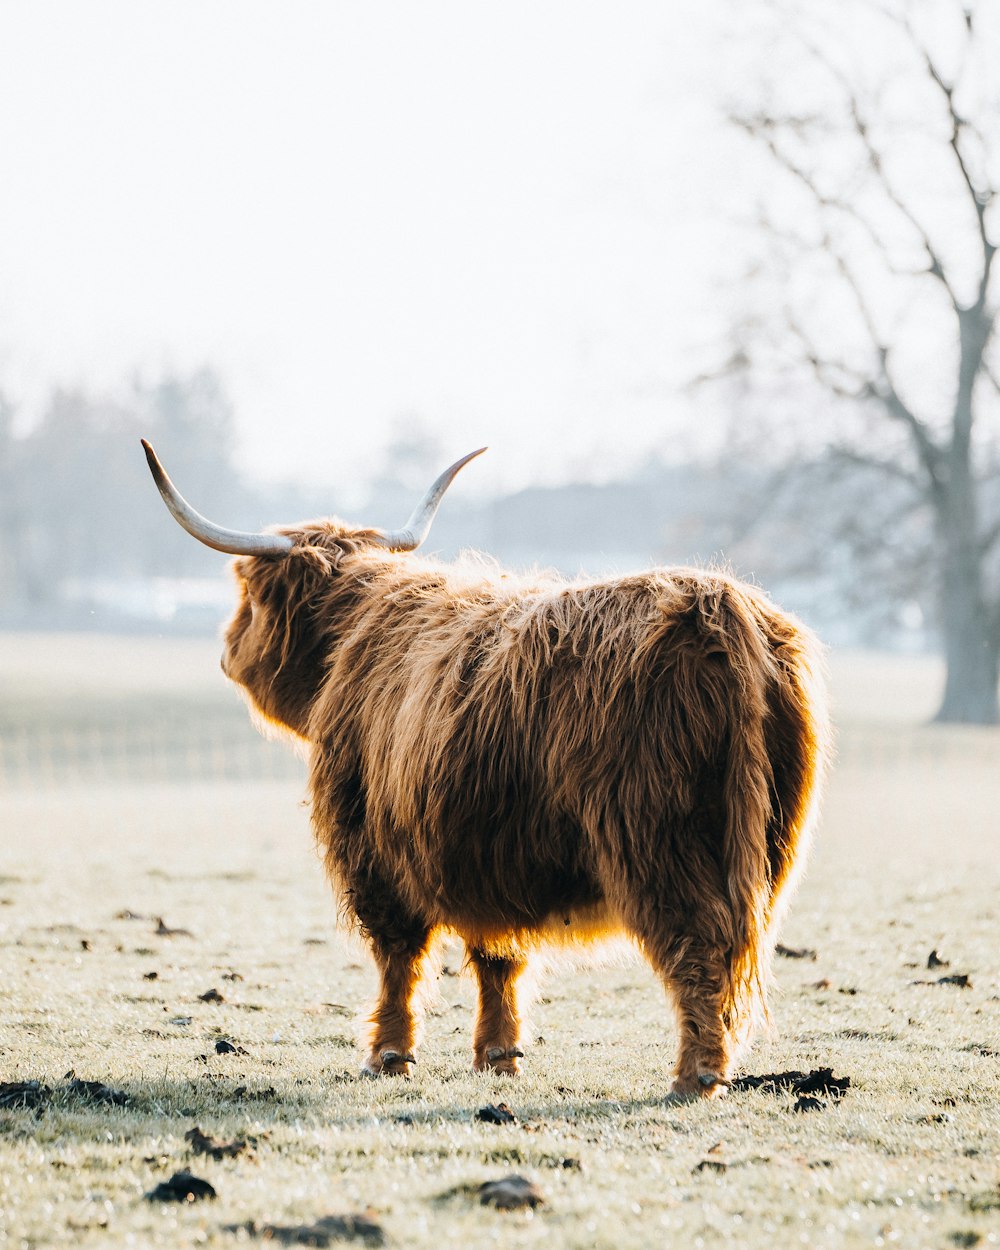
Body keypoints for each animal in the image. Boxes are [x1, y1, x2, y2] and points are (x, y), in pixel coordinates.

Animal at [140, 437, 830, 1095]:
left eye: (248, 593)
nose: (226, 650)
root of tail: (716, 608)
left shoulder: (372, 848)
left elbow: (398, 955)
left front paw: (387, 1055)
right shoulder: (487, 852)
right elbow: (499, 955)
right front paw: (499, 1057)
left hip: (656, 839)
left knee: (697, 945)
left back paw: (696, 1076)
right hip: (770, 845)